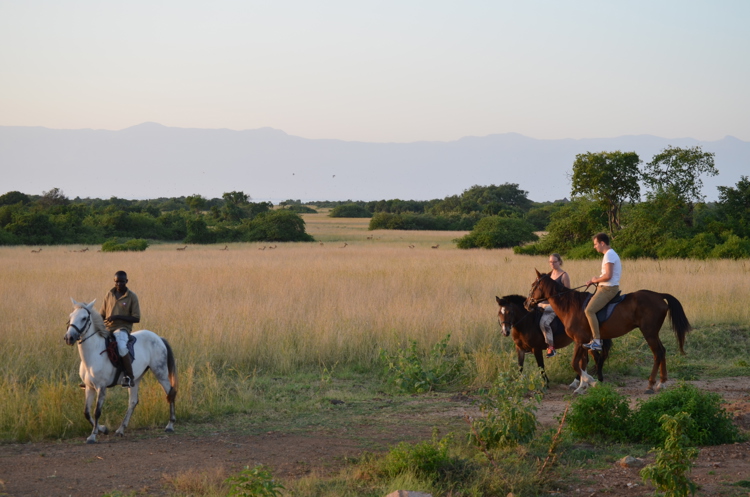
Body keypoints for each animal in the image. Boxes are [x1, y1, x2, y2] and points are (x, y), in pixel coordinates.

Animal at [63, 298, 178, 442]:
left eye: (84, 318)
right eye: (70, 316)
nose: (69, 338)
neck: (94, 353)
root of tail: (158, 338)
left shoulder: (101, 387)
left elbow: (97, 412)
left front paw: (93, 436)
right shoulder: (89, 387)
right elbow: (86, 412)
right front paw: (103, 429)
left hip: (160, 372)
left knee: (170, 392)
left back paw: (170, 425)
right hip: (136, 378)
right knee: (133, 402)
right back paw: (120, 430)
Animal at [524, 270, 692, 394]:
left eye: (533, 285)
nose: (527, 304)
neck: (570, 306)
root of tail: (659, 295)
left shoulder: (579, 340)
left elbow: (575, 364)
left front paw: (590, 382)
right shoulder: (584, 342)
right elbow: (582, 363)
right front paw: (582, 386)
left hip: (649, 332)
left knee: (657, 353)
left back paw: (651, 385)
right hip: (653, 333)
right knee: (662, 351)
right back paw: (662, 383)